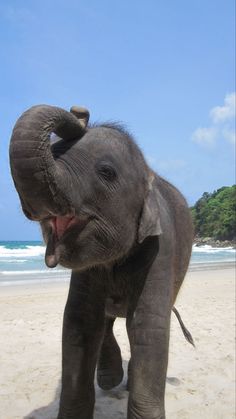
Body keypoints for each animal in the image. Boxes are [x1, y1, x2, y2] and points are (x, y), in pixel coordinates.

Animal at [9, 103, 194, 418]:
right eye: (55, 151)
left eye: (106, 172)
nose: (80, 112)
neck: (148, 174)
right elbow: (79, 324)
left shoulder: (161, 248)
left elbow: (148, 326)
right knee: (105, 320)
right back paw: (110, 380)